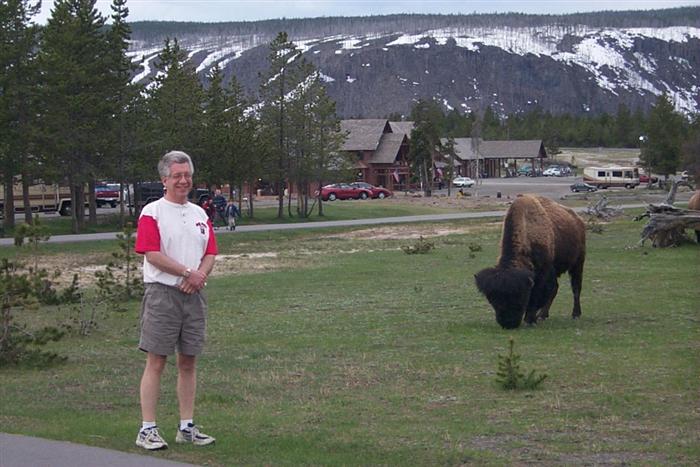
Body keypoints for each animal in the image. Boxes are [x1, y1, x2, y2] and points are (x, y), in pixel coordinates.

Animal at [475, 195, 586, 329]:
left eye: (520, 296)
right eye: (492, 299)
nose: (508, 323)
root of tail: (578, 220)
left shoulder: (542, 274)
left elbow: (537, 294)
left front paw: (529, 320)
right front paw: (534, 318)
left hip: (578, 263)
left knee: (576, 287)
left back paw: (575, 314)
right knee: (555, 289)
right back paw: (542, 315)